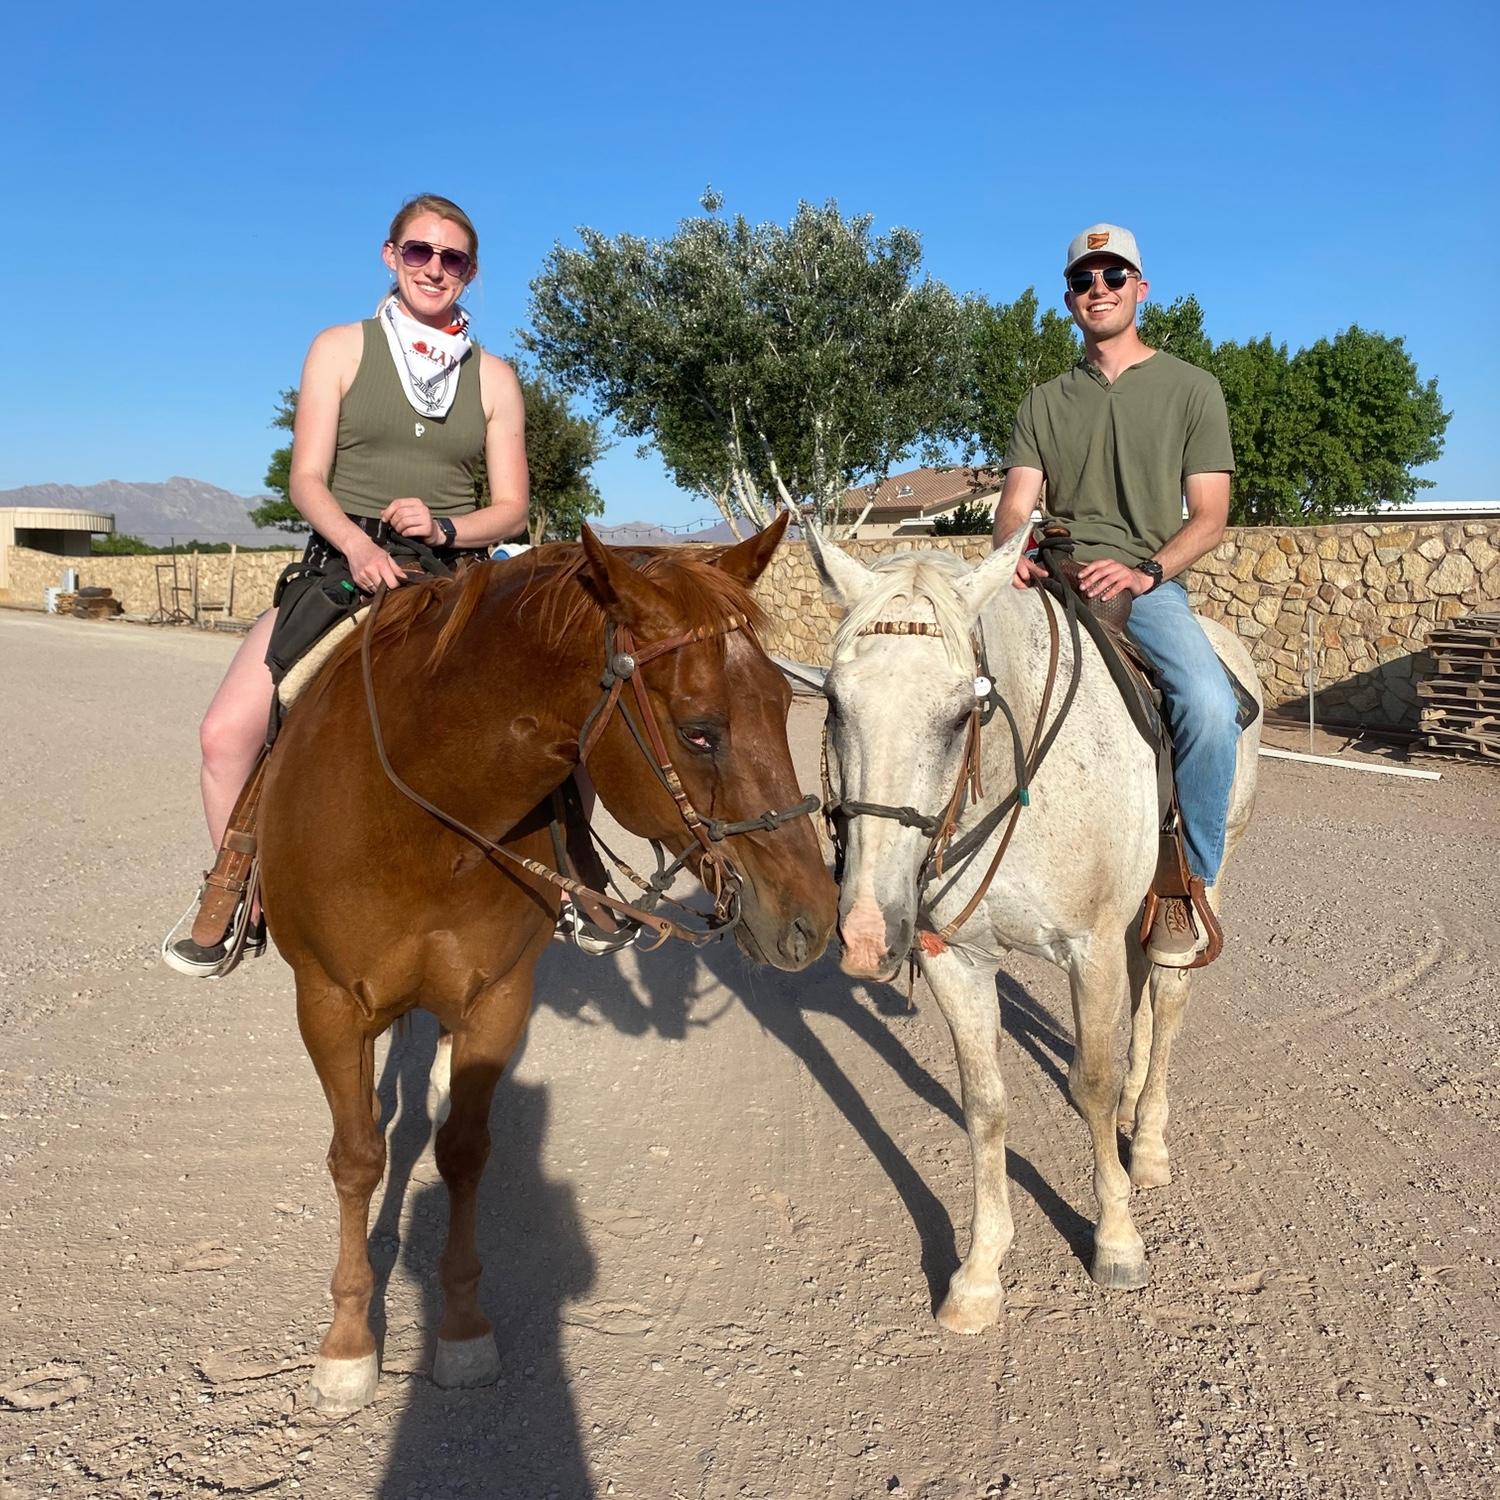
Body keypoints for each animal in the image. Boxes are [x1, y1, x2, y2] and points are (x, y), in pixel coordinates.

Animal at [262, 516, 840, 1404]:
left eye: (784, 705)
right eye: (699, 729)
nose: (814, 920)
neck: (422, 821)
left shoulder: (497, 997)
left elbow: (464, 1153)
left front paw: (463, 1328)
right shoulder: (328, 1003)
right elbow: (358, 1159)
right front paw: (349, 1345)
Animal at [816, 531, 1260, 1338]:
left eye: (963, 711)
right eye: (833, 700)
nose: (867, 934)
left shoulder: (1088, 947)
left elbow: (1090, 1082)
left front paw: (1116, 1239)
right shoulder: (957, 959)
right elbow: (984, 1105)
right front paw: (979, 1274)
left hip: (1202, 878)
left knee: (1169, 994)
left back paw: (1148, 1141)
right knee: (1144, 990)